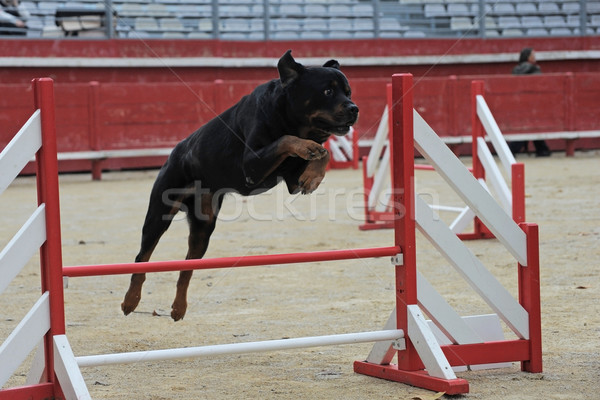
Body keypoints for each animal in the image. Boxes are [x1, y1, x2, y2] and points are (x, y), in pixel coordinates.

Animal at [120, 48, 358, 320]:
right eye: (327, 91)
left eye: (348, 92)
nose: (354, 108)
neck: (290, 118)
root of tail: (175, 153)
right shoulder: (251, 166)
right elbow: (286, 139)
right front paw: (308, 148)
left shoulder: (290, 180)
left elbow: (323, 154)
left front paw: (313, 174)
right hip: (159, 212)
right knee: (142, 257)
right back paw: (130, 301)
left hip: (203, 227)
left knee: (187, 267)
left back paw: (178, 307)